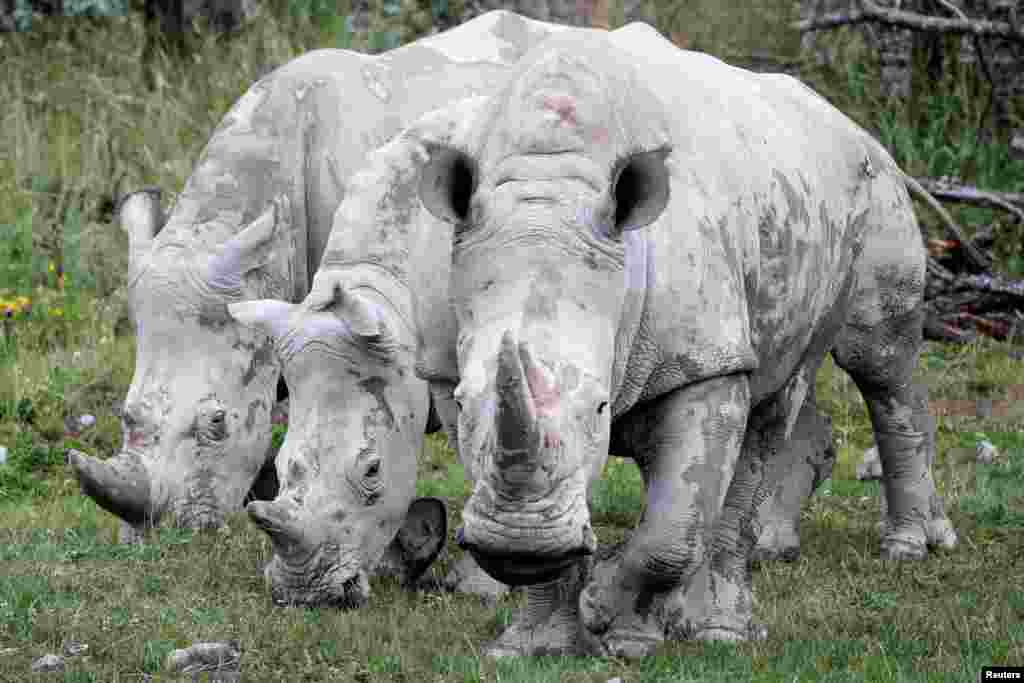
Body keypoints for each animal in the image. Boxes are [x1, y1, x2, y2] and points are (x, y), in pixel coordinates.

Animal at [405, 25, 959, 656]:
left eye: (600, 407)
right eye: (468, 402)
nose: (517, 544)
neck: (549, 191)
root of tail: (847, 121)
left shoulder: (706, 360)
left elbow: (670, 535)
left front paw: (613, 622)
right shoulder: (444, 365)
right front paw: (532, 646)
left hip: (875, 194)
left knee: (871, 366)